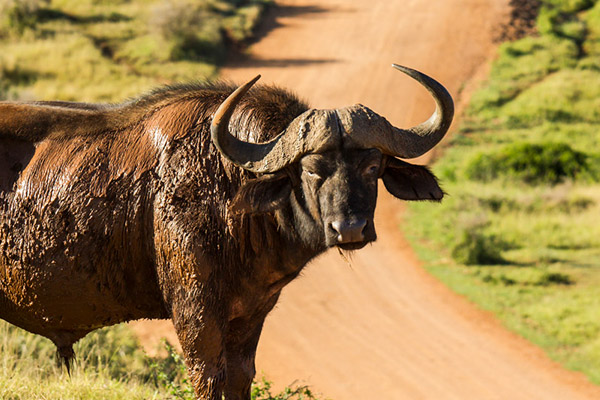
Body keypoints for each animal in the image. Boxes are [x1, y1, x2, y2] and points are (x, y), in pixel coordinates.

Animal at [0, 64, 450, 398]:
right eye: (311, 169)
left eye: (373, 166)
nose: (350, 228)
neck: (228, 182)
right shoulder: (196, 313)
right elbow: (208, 379)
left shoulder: (250, 314)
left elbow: (239, 379)